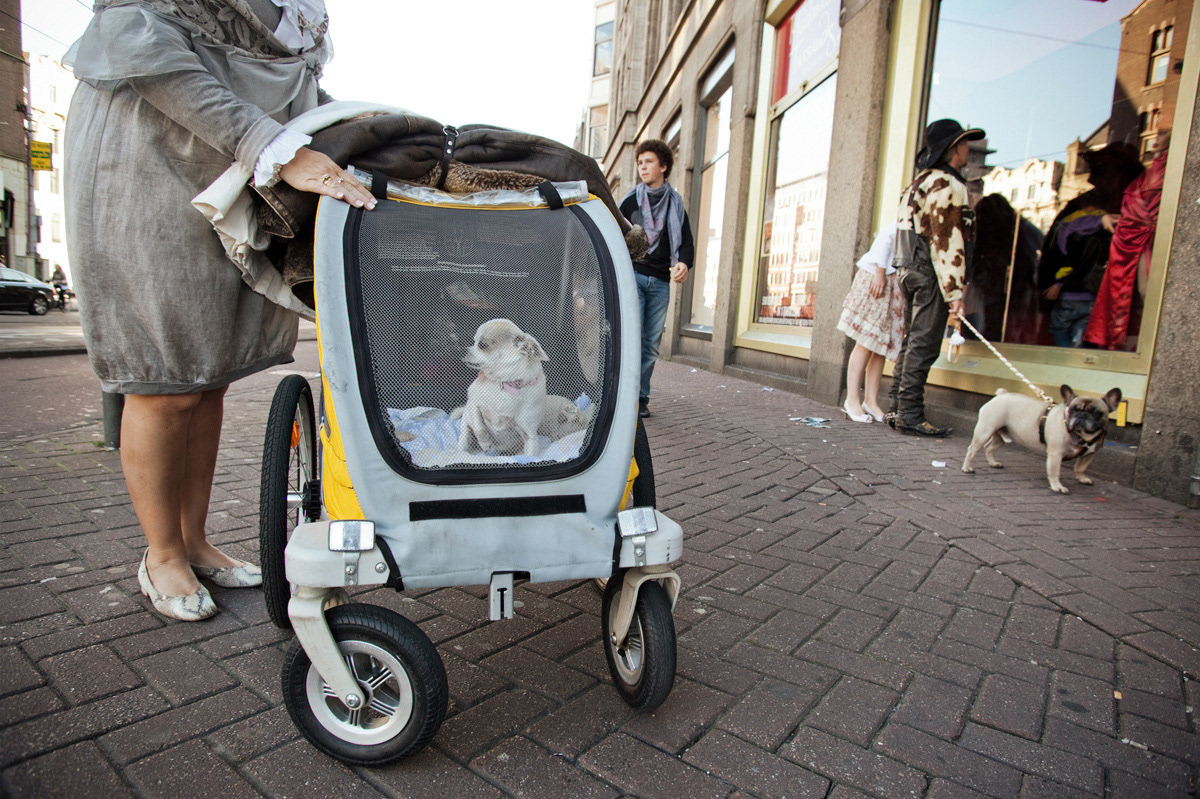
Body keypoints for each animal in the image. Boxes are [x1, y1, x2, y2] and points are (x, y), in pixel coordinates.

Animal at [458, 319, 548, 456]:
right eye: (474, 341)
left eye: (482, 345)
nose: (463, 349)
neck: (505, 384)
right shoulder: (473, 404)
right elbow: (479, 429)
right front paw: (485, 443)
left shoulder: (530, 435)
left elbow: (530, 455)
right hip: (465, 431)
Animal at [961, 385, 1122, 494]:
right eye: (1073, 409)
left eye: (1096, 413)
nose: (1082, 416)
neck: (1081, 435)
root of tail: (1001, 395)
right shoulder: (1055, 454)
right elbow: (1054, 471)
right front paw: (1057, 486)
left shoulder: (1090, 454)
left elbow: (1081, 467)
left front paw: (1082, 479)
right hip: (984, 431)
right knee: (972, 449)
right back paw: (967, 467)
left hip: (1001, 436)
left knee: (989, 448)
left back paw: (993, 463)